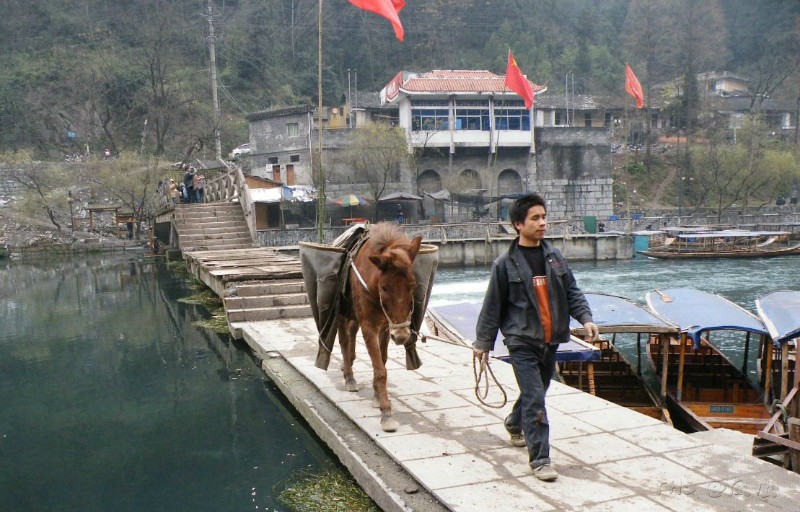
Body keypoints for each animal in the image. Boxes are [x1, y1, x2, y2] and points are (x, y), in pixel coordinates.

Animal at [338, 224, 424, 432]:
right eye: (384, 287)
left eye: (412, 285)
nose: (401, 336)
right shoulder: (369, 326)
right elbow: (380, 369)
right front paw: (386, 413)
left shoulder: (386, 326)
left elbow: (382, 361)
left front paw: (377, 396)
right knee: (344, 339)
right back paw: (349, 376)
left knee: (351, 332)